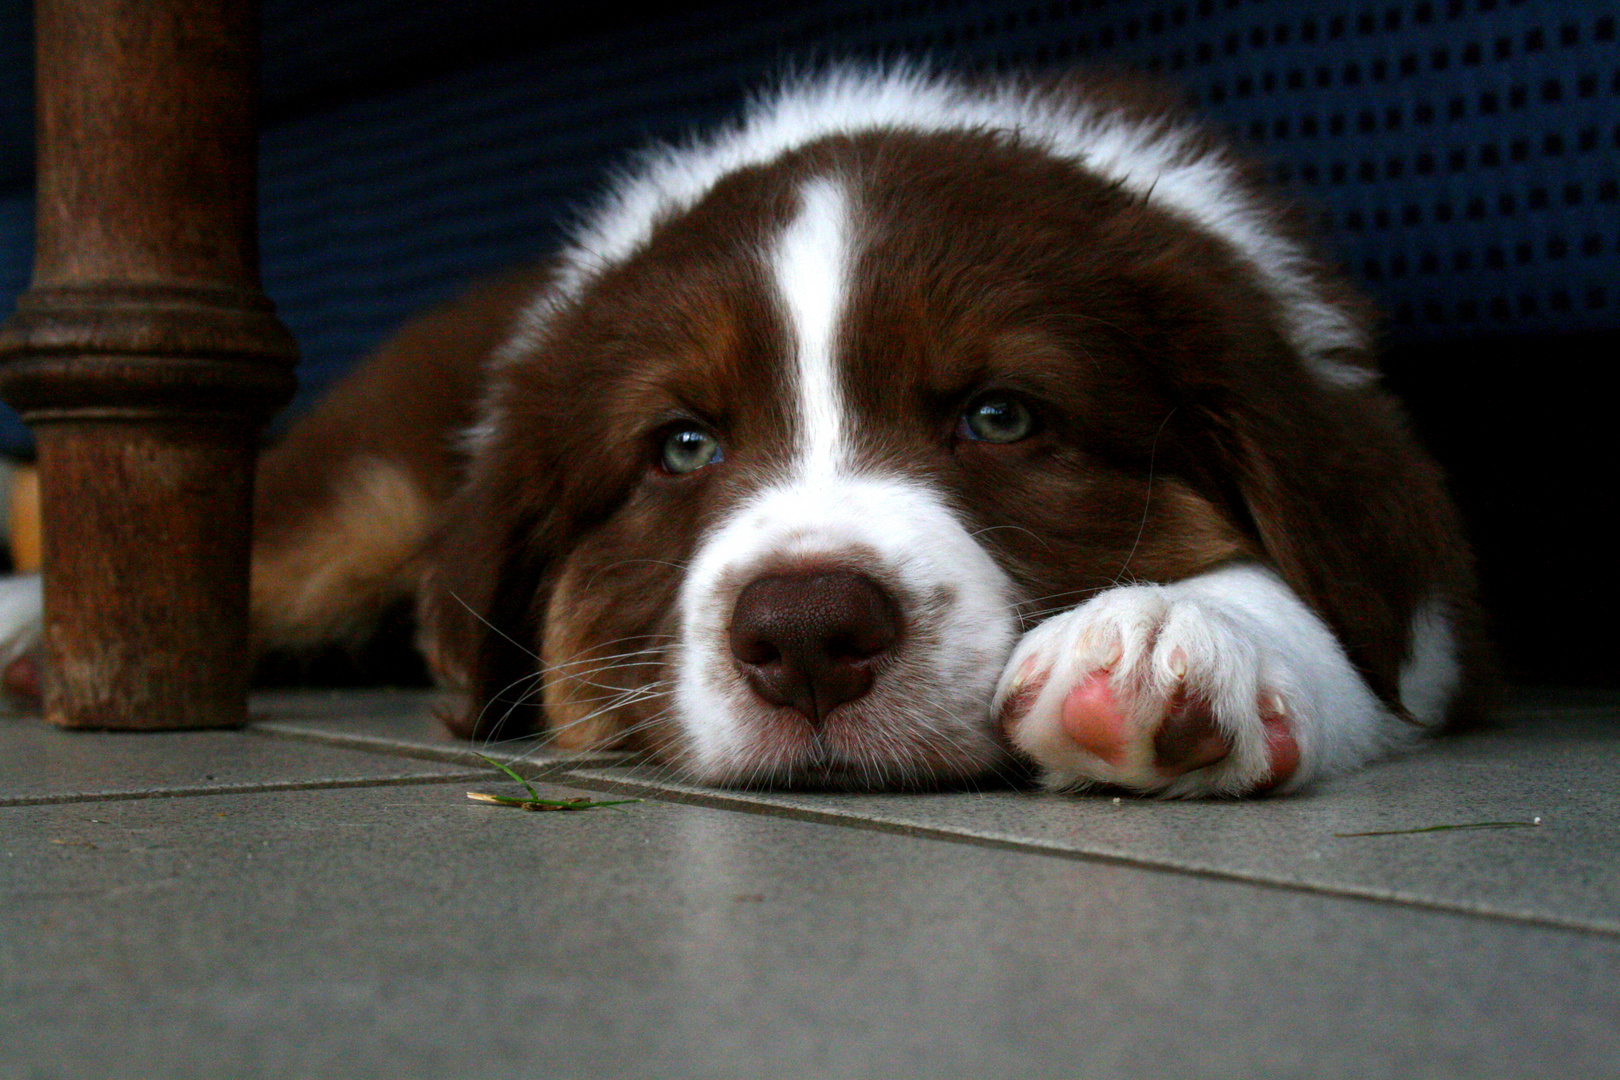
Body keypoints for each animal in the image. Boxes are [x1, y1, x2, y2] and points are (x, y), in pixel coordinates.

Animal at [3, 65, 1490, 793]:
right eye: (681, 447)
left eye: (1000, 416)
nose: (810, 635)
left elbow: (1362, 636)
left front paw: (1176, 642)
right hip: (366, 486)